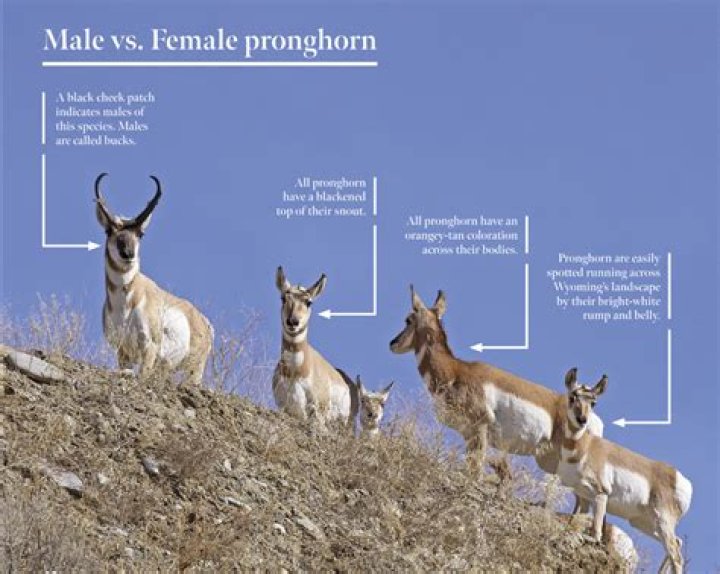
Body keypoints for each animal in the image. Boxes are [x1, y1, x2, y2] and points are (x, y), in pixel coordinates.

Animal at [94, 173, 213, 385]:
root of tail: (204, 321)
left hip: (194, 369)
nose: (128, 254)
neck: (126, 304)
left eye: (140, 234)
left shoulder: (149, 348)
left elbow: (142, 375)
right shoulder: (122, 353)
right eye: (108, 231)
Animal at [272, 267, 358, 427]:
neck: (296, 372)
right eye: (283, 298)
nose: (293, 322)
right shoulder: (285, 408)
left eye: (309, 302)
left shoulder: (318, 413)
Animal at [388, 287, 604, 492]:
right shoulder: (468, 434)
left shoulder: (480, 427)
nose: (393, 343)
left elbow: (475, 472)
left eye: (408, 319)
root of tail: (591, 418)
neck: (455, 372)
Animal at [558, 368, 692, 574]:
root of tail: (679, 478)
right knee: (676, 543)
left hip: (662, 521)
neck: (585, 447)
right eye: (572, 396)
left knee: (676, 553)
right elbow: (574, 523)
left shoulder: (600, 495)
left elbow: (596, 532)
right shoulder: (583, 498)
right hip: (644, 522)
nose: (582, 420)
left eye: (593, 402)